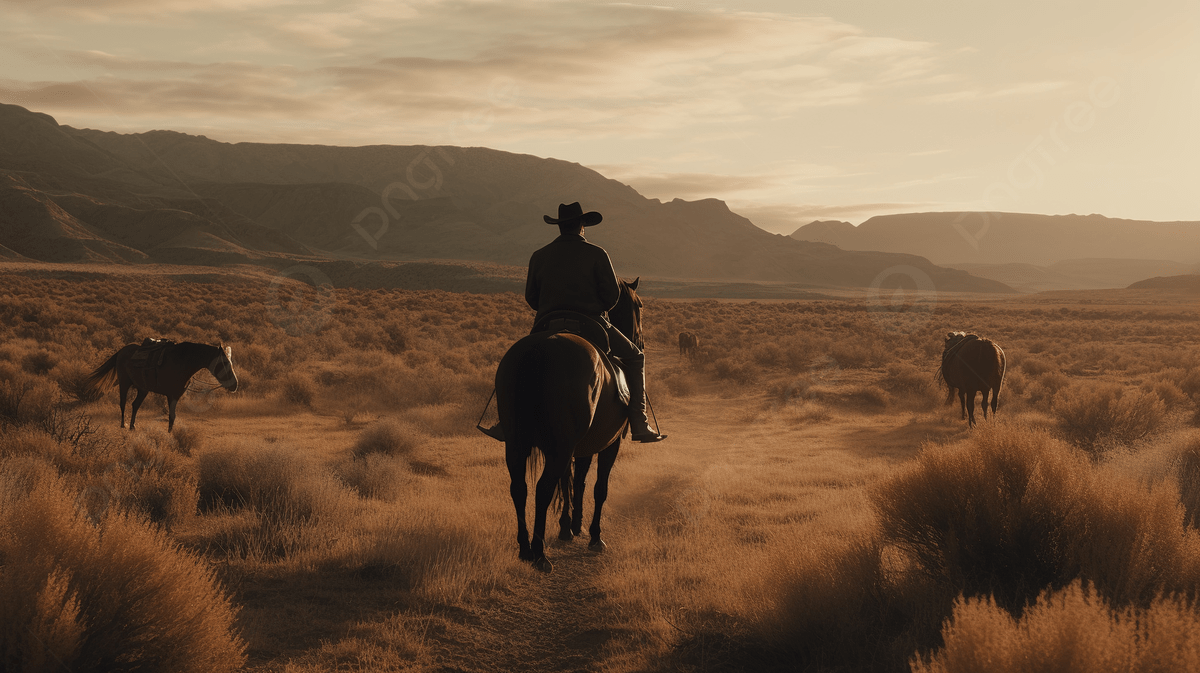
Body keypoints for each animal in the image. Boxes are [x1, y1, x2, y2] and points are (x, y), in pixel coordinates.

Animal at [494, 275, 648, 568]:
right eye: (639, 306)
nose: (640, 342)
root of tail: (541, 347)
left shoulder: (580, 445)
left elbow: (574, 482)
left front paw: (570, 526)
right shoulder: (609, 444)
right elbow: (599, 488)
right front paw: (595, 536)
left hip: (517, 443)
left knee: (519, 488)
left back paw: (524, 549)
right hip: (560, 447)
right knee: (543, 489)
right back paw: (539, 554)